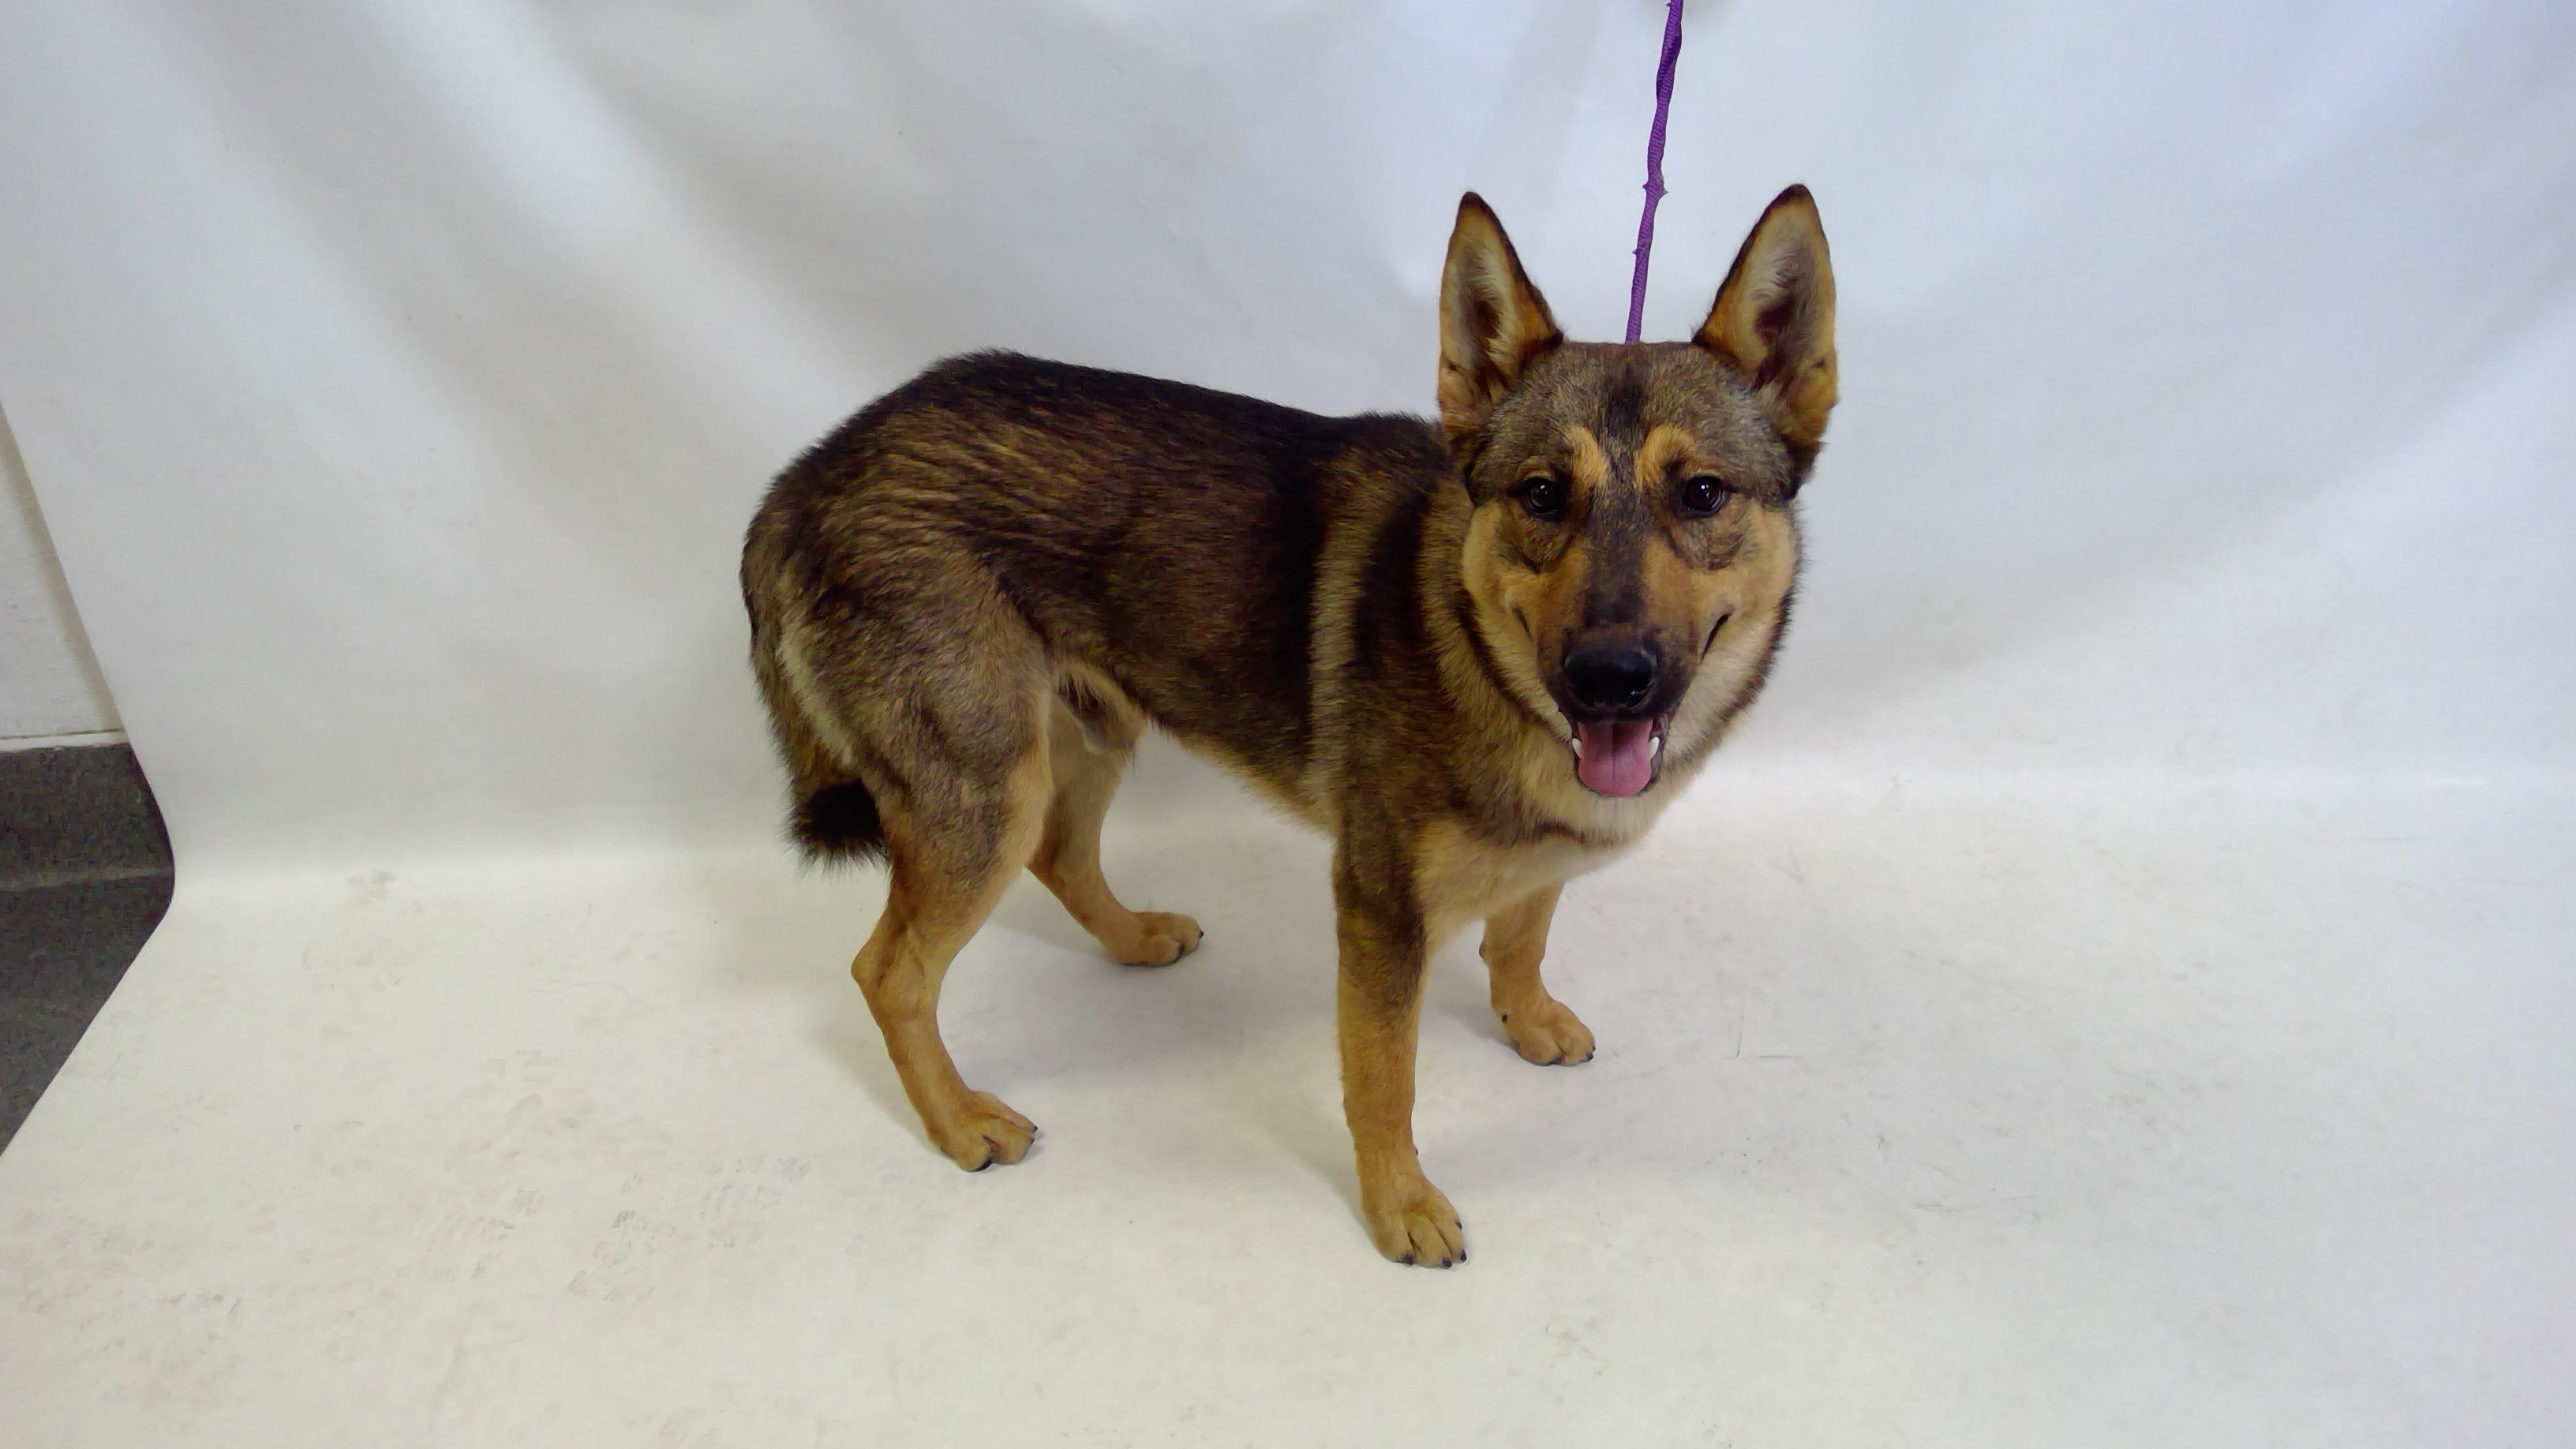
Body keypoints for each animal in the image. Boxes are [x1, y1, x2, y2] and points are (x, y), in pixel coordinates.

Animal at [741, 186, 1836, 1265]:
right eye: (1540, 495)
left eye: (1702, 494)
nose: (1609, 680)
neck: (1479, 651)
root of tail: (808, 475)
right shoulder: (1381, 909)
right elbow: (1385, 1078)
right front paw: (1399, 1204)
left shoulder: (1531, 864)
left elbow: (1521, 937)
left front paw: (1525, 1022)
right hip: (985, 795)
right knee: (887, 971)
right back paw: (958, 1118)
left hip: (1087, 737)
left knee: (1059, 856)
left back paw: (1133, 940)